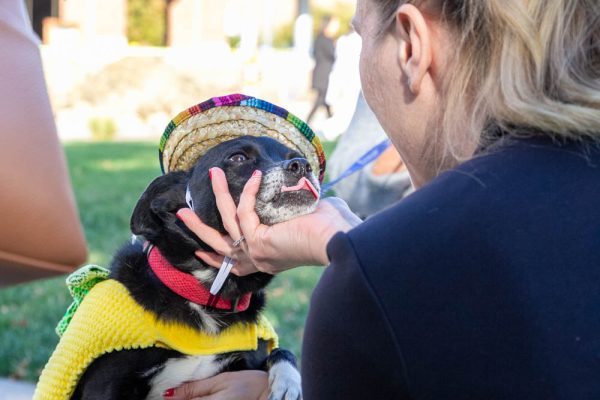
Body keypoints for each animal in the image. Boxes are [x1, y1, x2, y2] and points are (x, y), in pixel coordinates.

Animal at [71, 136, 318, 398]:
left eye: (295, 156)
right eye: (238, 157)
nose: (301, 166)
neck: (204, 296)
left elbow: (281, 352)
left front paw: (288, 382)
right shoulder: (105, 386)